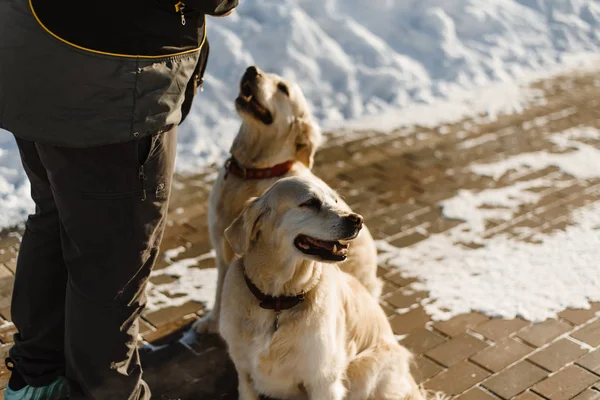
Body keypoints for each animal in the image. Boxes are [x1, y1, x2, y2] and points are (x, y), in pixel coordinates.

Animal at [192, 67, 382, 336]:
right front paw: (212, 322)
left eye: (282, 88)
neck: (253, 171)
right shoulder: (221, 246)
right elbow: (220, 289)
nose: (251, 70)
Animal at [220, 178, 432, 400]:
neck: (278, 300)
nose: (357, 220)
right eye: (310, 202)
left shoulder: (323, 381)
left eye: (336, 200)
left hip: (365, 368)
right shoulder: (244, 373)